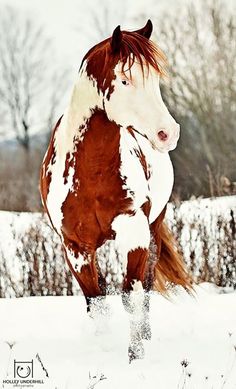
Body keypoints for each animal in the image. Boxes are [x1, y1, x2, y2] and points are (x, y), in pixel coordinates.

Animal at [40, 19, 192, 360]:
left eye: (155, 80)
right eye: (124, 79)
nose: (168, 133)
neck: (91, 173)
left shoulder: (133, 232)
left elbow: (131, 295)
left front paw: (135, 356)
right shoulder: (76, 247)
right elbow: (96, 302)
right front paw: (104, 349)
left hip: (153, 229)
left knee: (145, 287)